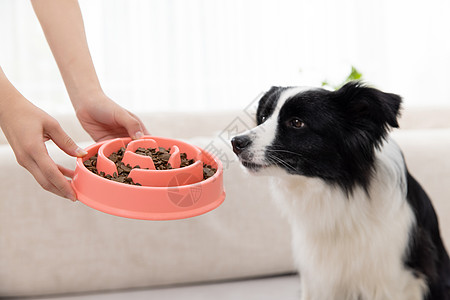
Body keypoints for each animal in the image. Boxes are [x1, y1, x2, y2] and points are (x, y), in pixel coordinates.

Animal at [232, 81, 450, 298]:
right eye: (263, 117)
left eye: (296, 122)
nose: (236, 142)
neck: (337, 189)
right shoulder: (317, 278)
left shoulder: (395, 280)